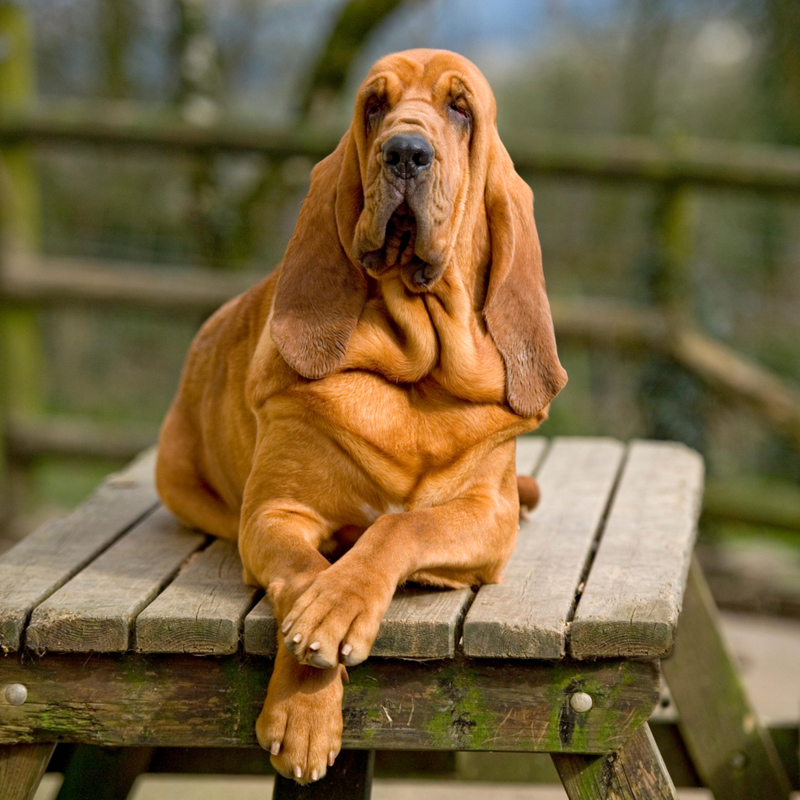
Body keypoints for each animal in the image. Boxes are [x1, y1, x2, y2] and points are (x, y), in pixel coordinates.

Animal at [156, 48, 564, 780]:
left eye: (460, 108)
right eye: (374, 105)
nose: (404, 152)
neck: (415, 374)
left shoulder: (487, 517)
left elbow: (401, 527)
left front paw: (340, 608)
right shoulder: (274, 513)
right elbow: (302, 577)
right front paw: (306, 703)